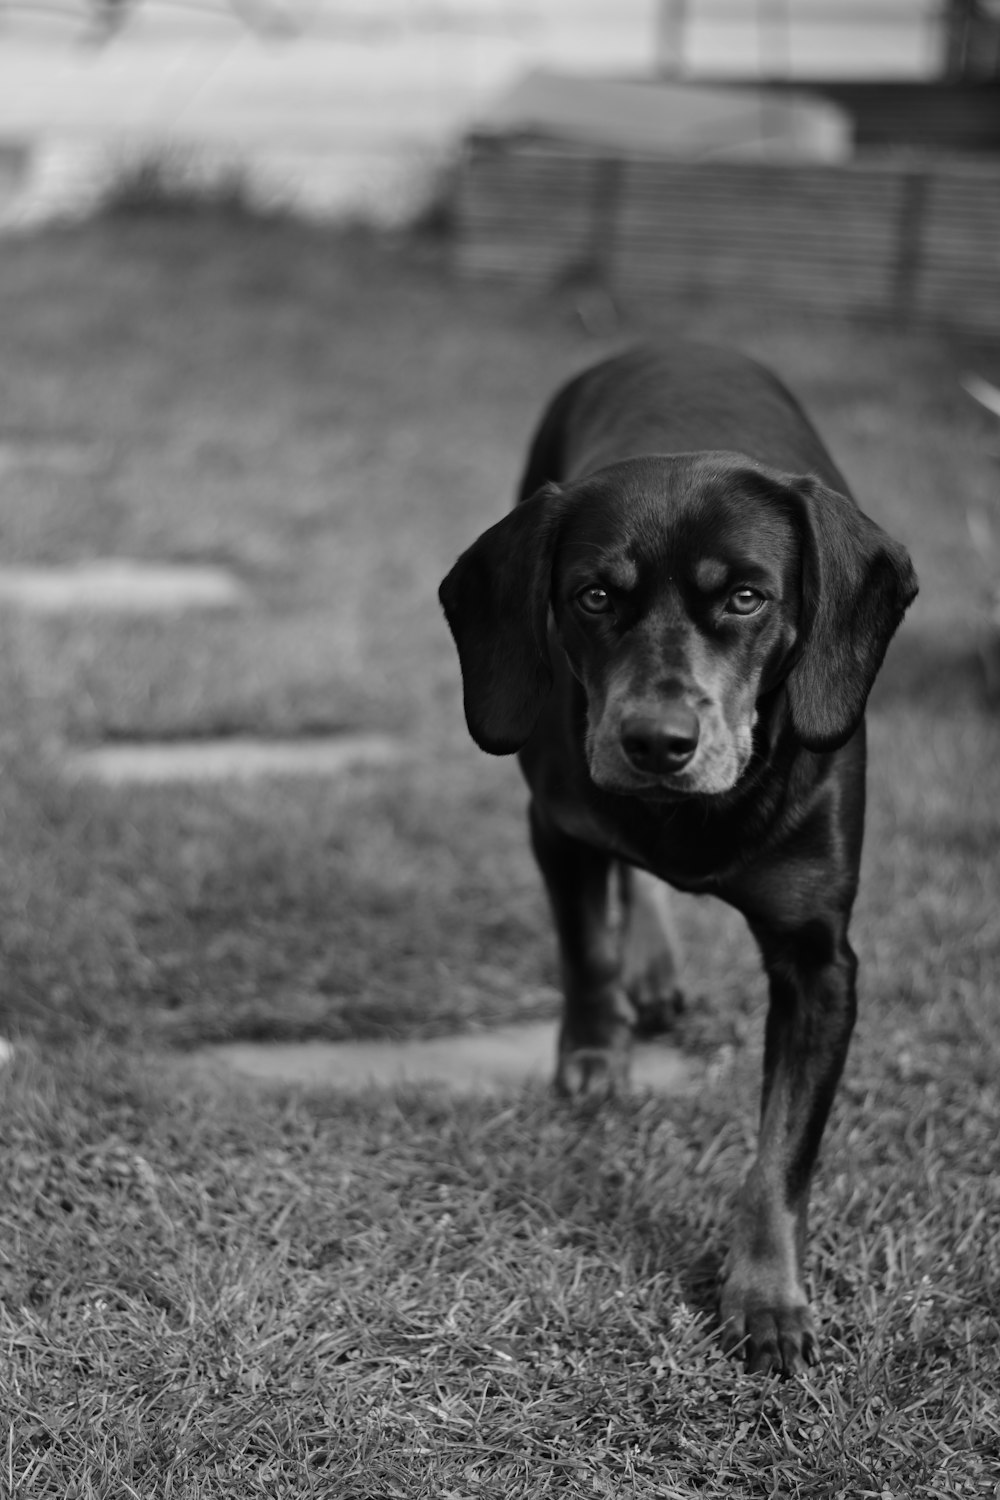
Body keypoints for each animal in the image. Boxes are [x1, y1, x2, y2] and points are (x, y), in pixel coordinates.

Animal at [440, 345, 917, 1374]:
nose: (656, 743)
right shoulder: (556, 824)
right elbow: (586, 947)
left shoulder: (821, 960)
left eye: (746, 596)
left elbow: (781, 1155)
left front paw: (767, 1296)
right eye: (593, 595)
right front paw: (592, 1050)